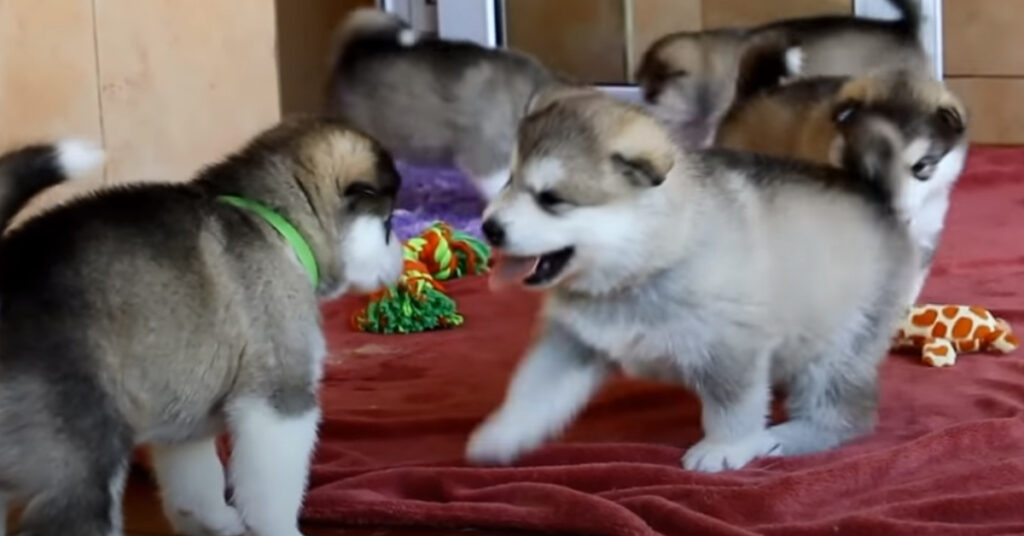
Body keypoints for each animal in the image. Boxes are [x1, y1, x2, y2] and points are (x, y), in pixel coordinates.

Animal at [0, 118, 403, 536]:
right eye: (388, 224)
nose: (402, 260)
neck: (277, 222)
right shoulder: (279, 396)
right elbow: (272, 491)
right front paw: (279, 529)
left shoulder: (185, 415)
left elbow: (196, 486)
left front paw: (215, 521)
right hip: (77, 460)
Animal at [468, 88, 917, 473]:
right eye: (509, 180)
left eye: (551, 199)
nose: (489, 227)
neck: (645, 263)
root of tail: (876, 197)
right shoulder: (572, 341)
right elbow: (533, 391)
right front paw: (502, 434)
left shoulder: (731, 348)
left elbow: (731, 408)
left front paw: (724, 449)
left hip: (841, 345)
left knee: (844, 411)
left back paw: (786, 437)